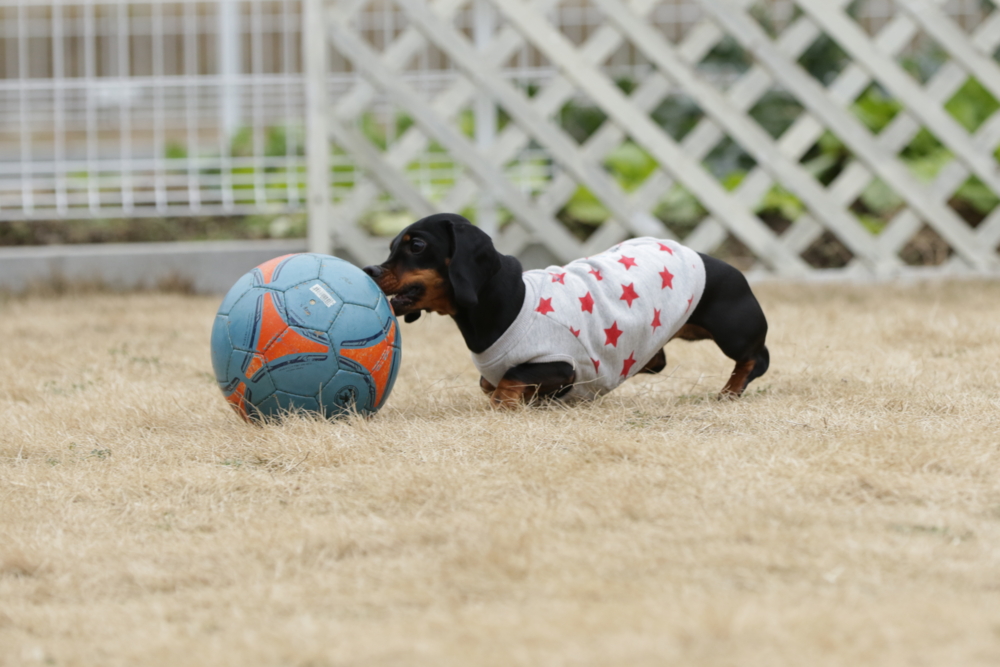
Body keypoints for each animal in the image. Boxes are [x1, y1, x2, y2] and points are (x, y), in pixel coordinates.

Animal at [364, 214, 768, 408]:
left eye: (416, 245)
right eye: (392, 244)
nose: (369, 270)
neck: (510, 300)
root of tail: (714, 259)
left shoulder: (561, 363)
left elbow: (507, 381)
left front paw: (506, 402)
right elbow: (489, 381)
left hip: (732, 331)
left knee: (756, 358)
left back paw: (731, 389)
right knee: (658, 360)